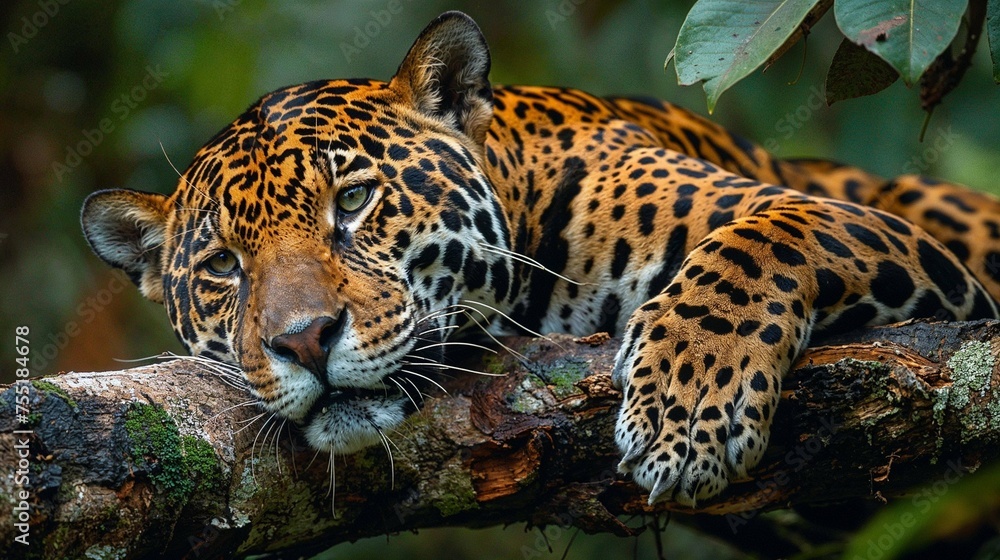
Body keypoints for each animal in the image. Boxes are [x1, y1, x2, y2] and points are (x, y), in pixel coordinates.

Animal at [80, 11, 1000, 506]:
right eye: (223, 268)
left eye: (353, 202)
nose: (305, 340)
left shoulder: (849, 224)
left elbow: (756, 244)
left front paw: (687, 409)